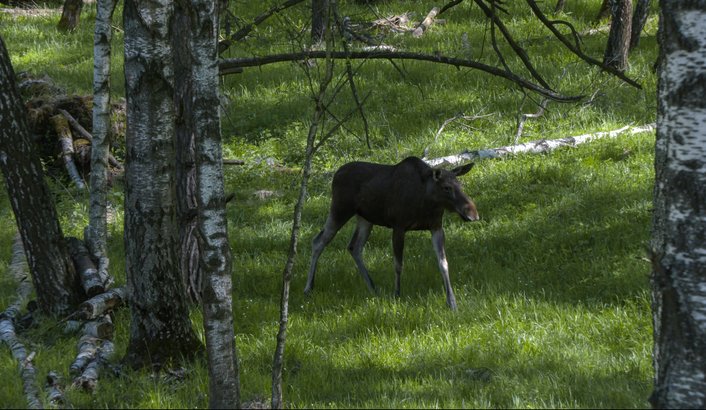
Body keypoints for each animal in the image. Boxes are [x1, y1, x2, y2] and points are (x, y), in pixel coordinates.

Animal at [304, 155, 478, 310]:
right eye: (446, 187)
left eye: (461, 185)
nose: (473, 214)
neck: (426, 203)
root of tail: (336, 174)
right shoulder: (398, 226)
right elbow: (398, 264)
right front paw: (397, 294)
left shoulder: (436, 227)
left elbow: (443, 263)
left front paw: (452, 302)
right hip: (340, 210)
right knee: (318, 241)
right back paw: (308, 288)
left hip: (365, 219)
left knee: (354, 246)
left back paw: (373, 288)